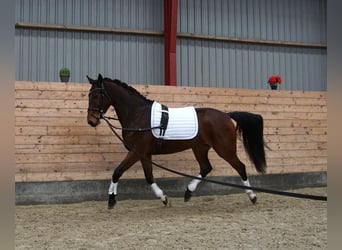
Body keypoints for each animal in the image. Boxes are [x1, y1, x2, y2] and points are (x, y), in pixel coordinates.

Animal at [86, 74, 268, 209]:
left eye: (97, 95)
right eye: (89, 95)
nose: (91, 121)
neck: (139, 115)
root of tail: (226, 115)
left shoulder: (136, 151)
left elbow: (117, 172)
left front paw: (111, 199)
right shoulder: (144, 154)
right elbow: (149, 176)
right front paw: (164, 198)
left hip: (224, 149)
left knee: (240, 167)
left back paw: (252, 196)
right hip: (200, 148)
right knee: (206, 167)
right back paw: (188, 192)